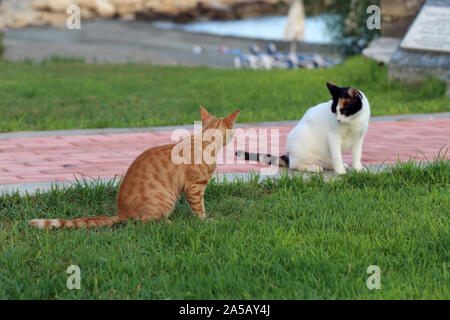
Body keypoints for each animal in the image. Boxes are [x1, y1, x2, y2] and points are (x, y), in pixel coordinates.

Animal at [29, 106, 239, 229]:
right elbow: (199, 209)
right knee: (144, 222)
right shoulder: (195, 187)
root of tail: (122, 211)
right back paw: (167, 222)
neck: (205, 140)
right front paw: (205, 221)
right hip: (164, 201)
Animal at [237, 81, 370, 174]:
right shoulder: (334, 138)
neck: (353, 121)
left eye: (343, 111)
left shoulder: (358, 139)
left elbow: (356, 155)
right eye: (334, 111)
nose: (338, 120)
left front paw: (357, 169)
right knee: (295, 165)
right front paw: (340, 171)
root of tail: (289, 156)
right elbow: (337, 155)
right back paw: (314, 168)